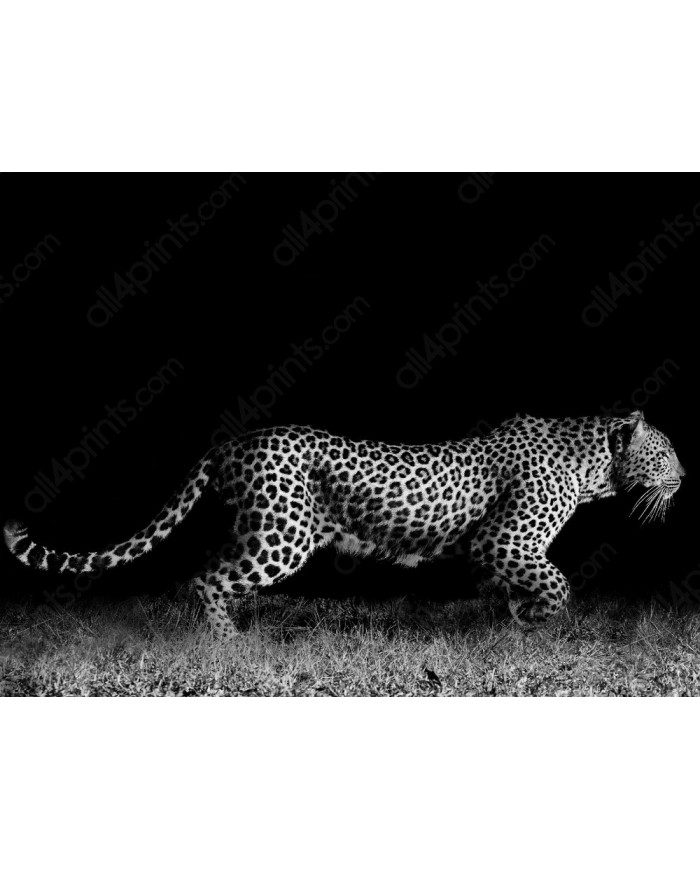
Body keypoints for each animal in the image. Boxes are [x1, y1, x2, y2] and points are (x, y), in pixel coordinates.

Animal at [3, 410, 685, 638]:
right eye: (667, 452)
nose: (686, 475)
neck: (594, 466)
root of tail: (232, 442)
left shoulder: (500, 551)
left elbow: (522, 586)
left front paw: (518, 617)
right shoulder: (503, 541)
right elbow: (558, 583)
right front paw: (537, 618)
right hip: (282, 534)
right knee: (206, 577)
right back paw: (229, 642)